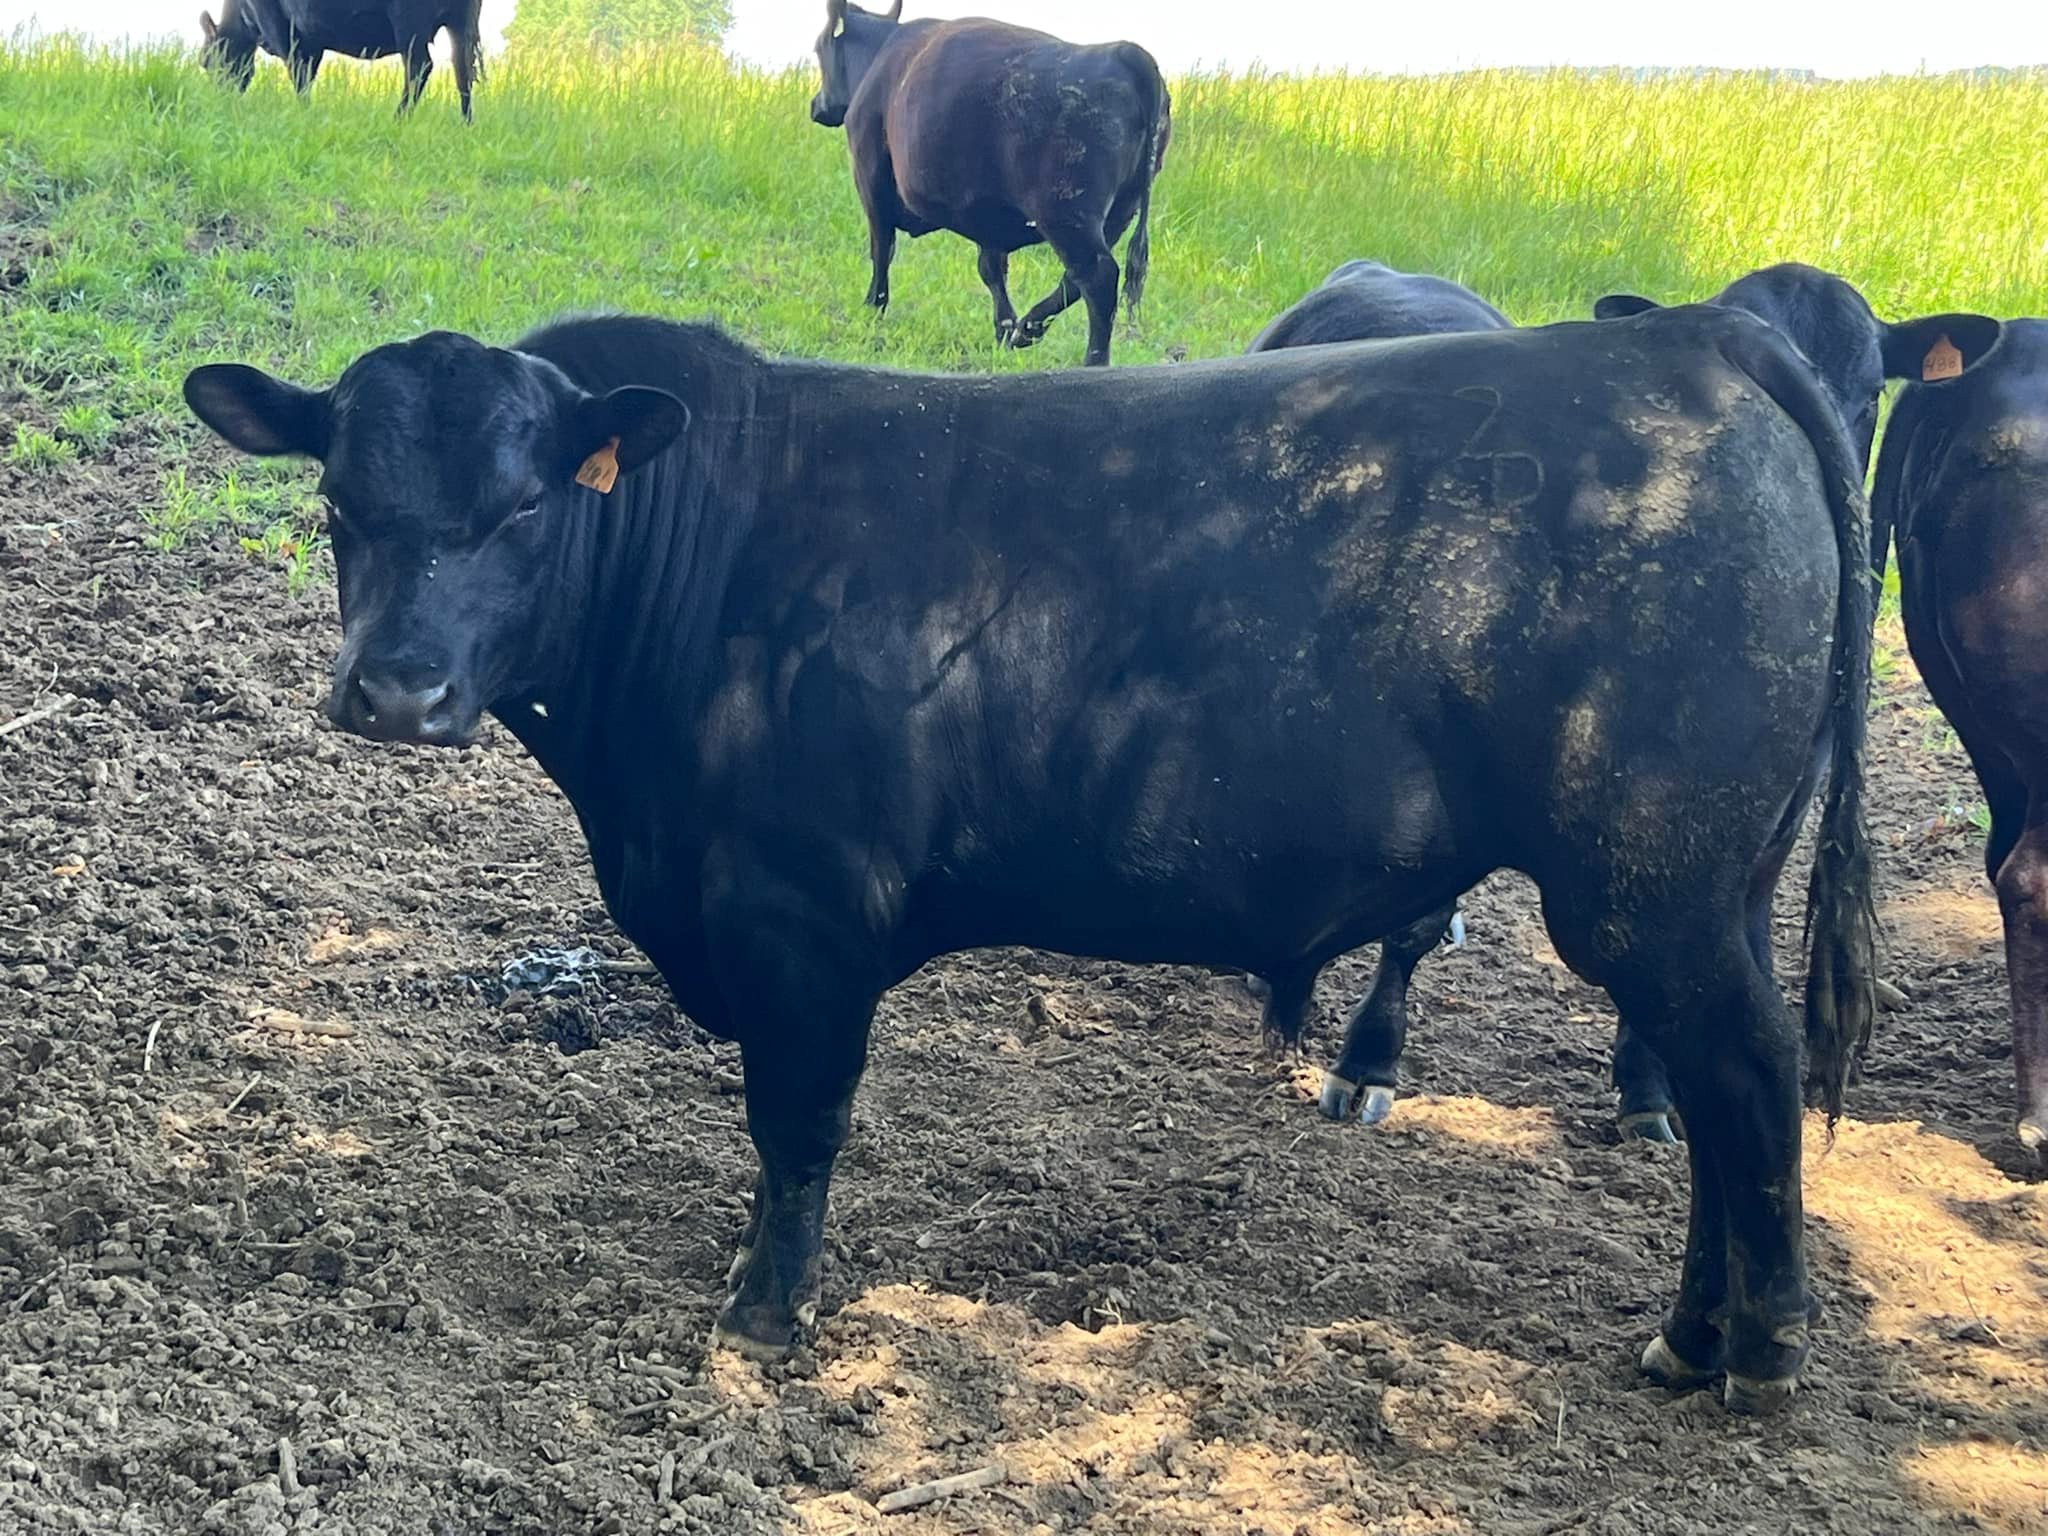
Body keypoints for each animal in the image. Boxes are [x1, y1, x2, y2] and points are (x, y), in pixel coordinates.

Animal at [185, 304, 1878, 1413]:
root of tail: (1692, 340)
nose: (396, 690)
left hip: (1651, 887)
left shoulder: (802, 920)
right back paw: (1689, 1340)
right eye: (337, 498)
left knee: (1747, 1085)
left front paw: (763, 1314)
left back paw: (1759, 1358)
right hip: (1698, 892)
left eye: (529, 501)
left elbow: (796, 1127)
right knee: (1721, 1103)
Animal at [199, 0, 485, 120]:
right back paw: (466, 123)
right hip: (463, 23)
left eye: (206, 61)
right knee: (463, 72)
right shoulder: (312, 40)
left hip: (409, 22)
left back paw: (398, 118)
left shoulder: (278, 26)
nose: (219, 97)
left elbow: (298, 74)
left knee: (420, 67)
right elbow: (306, 76)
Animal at [808, 2, 1170, 367]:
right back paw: (1027, 329)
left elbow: (882, 249)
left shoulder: (870, 178)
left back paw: (1092, 360)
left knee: (1097, 278)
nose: (815, 105)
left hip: (1068, 213)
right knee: (1075, 279)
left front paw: (872, 309)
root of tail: (1122, 52)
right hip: (1119, 211)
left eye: (819, 48)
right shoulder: (987, 213)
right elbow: (992, 269)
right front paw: (1004, 329)